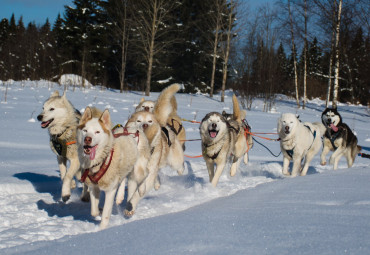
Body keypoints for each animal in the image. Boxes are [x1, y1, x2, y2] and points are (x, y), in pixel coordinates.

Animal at [124, 84, 185, 217]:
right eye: (138, 121)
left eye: (150, 121)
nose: (145, 125)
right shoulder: (133, 177)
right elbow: (131, 192)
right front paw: (129, 207)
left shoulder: (148, 176)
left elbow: (137, 194)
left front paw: (131, 204)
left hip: (174, 161)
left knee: (180, 165)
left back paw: (181, 171)